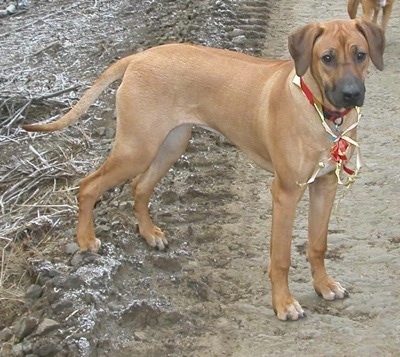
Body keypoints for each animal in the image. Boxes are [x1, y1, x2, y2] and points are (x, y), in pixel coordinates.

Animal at [21, 19, 384, 320]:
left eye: (361, 54)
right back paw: (86, 239)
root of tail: (138, 57)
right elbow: (280, 257)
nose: (352, 94)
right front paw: (283, 304)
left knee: (139, 186)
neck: (320, 110)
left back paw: (149, 234)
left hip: (171, 143)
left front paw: (324, 286)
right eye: (327, 58)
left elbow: (318, 245)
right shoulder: (286, 191)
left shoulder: (325, 185)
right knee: (88, 185)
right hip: (137, 148)